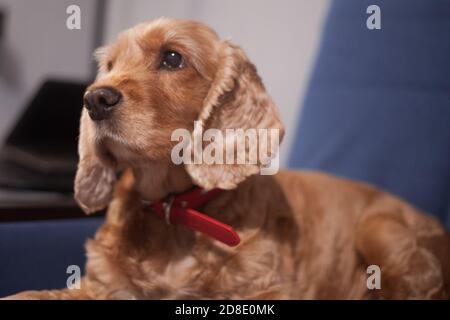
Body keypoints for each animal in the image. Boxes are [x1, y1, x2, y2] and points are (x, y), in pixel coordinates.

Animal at [4, 18, 450, 300]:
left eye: (172, 58)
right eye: (109, 65)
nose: (94, 99)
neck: (173, 211)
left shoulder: (266, 287)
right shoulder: (103, 285)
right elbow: (31, 294)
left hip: (380, 229)